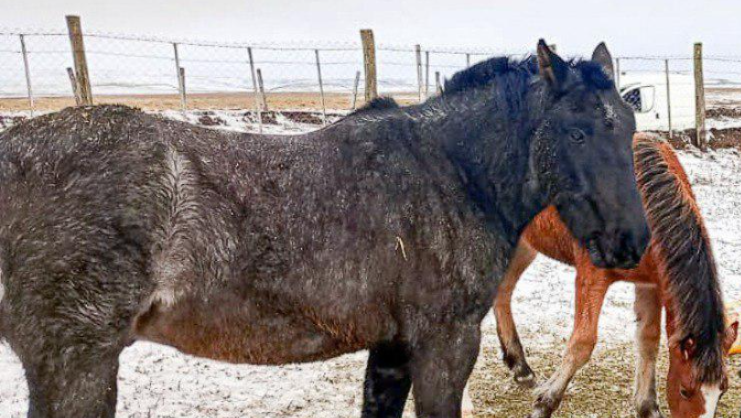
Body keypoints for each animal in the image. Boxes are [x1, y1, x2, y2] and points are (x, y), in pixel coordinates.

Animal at [0, 41, 650, 418]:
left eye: (628, 124)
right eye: (577, 133)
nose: (632, 241)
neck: (449, 172)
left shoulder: (392, 349)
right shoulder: (445, 345)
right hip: (76, 365)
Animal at [477, 133, 736, 418]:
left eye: (722, 390)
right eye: (685, 391)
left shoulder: (651, 284)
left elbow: (648, 340)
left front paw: (647, 406)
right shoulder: (592, 276)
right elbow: (583, 342)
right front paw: (545, 402)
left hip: (525, 244)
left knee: (503, 292)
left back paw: (519, 366)